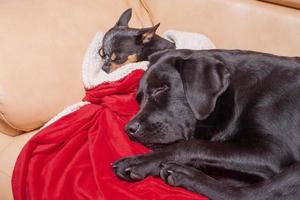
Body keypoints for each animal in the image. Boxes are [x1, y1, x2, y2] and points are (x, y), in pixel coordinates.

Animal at [113, 48, 300, 200]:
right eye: (139, 98)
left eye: (161, 88)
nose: (129, 129)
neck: (234, 95)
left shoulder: (273, 153)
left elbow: (195, 145)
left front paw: (141, 162)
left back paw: (183, 174)